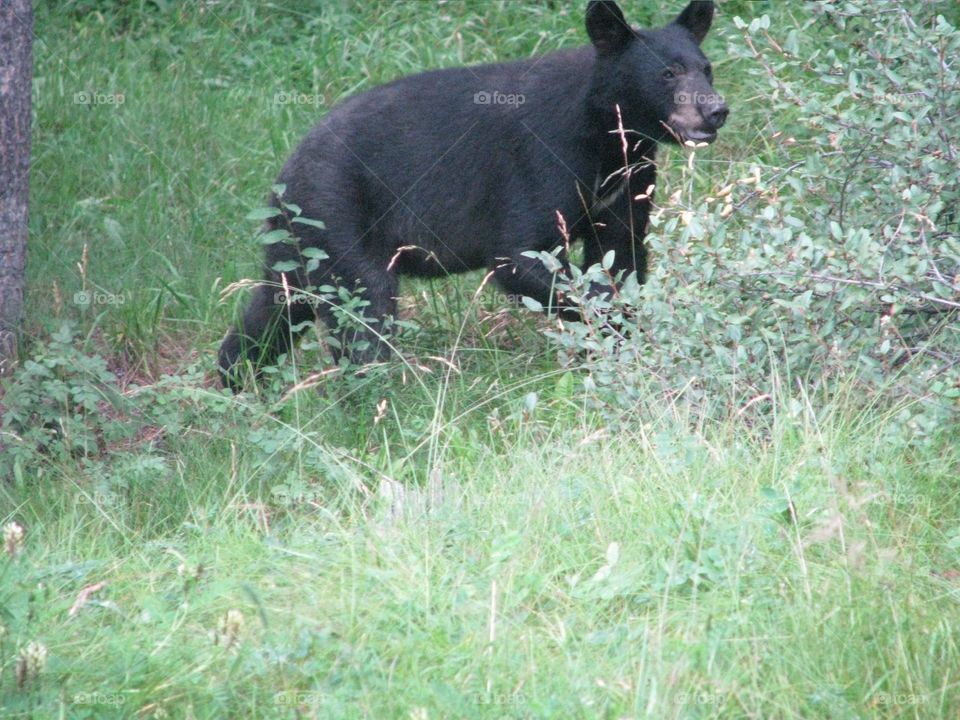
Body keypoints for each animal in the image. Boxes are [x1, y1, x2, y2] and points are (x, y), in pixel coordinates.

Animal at [219, 0, 728, 388]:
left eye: (707, 70)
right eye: (668, 73)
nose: (716, 110)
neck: (606, 134)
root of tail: (286, 173)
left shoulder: (629, 180)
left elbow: (621, 255)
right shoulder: (541, 161)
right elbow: (521, 254)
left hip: (299, 241)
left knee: (273, 308)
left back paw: (237, 383)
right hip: (340, 215)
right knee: (364, 309)